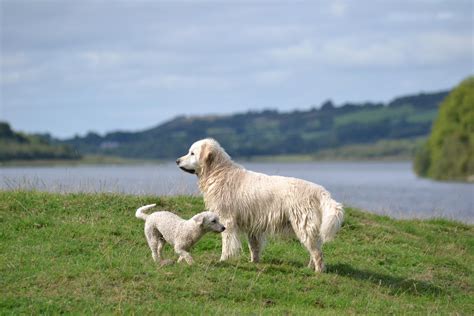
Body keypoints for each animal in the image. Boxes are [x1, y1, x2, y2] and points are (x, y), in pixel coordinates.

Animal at [176, 138, 342, 272]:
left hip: (303, 225)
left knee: (317, 253)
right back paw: (309, 268)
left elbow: (227, 244)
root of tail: (320, 191)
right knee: (315, 250)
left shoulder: (227, 220)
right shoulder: (252, 225)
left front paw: (223, 260)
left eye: (192, 153)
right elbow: (254, 247)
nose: (177, 160)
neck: (219, 173)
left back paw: (318, 272)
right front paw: (254, 262)